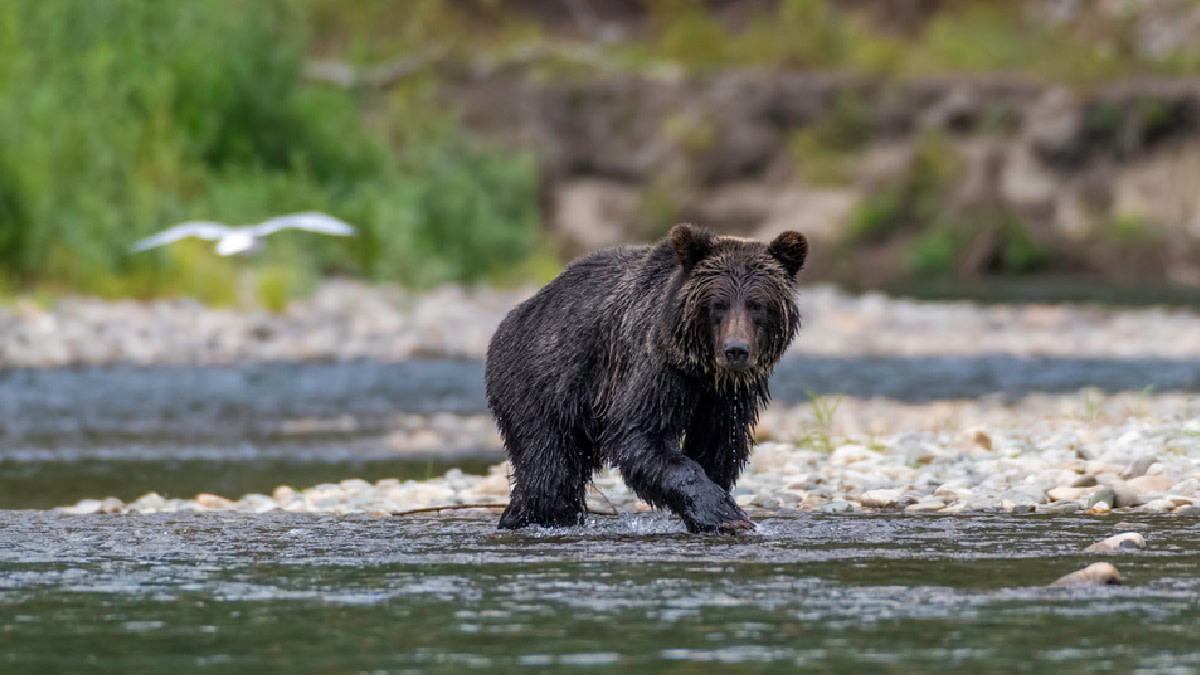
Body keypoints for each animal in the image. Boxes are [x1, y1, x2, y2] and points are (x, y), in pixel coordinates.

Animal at [485, 223, 808, 533]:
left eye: (757, 305)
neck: (702, 370)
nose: (736, 350)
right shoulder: (654, 366)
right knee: (549, 471)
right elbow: (640, 433)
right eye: (718, 304)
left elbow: (717, 446)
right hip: (542, 383)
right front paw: (725, 515)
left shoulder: (728, 397)